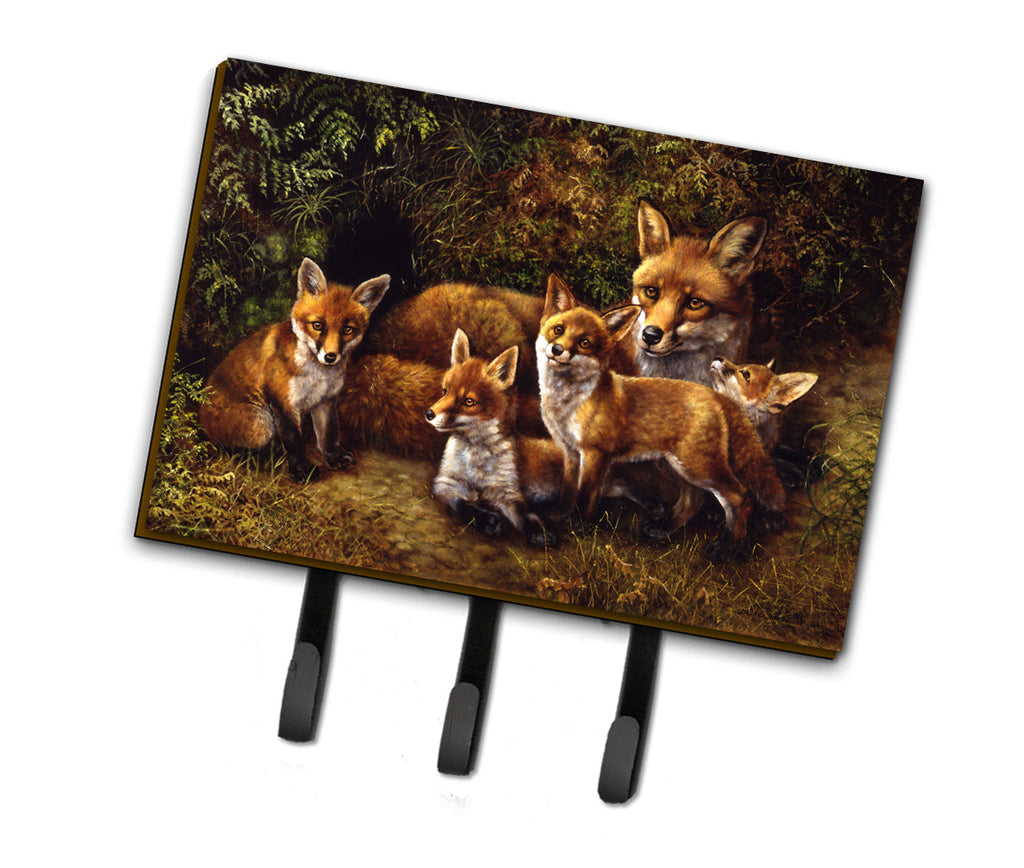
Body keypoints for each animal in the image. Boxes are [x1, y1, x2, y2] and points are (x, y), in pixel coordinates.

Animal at [199, 257, 390, 481]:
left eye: (348, 330)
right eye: (317, 325)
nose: (330, 357)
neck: (318, 376)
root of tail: (201, 417)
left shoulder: (326, 400)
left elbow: (328, 434)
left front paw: (333, 456)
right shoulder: (284, 402)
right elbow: (294, 441)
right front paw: (302, 470)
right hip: (262, 422)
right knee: (227, 447)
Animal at [425, 328, 560, 547]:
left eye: (468, 401)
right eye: (445, 391)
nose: (429, 414)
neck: (475, 457)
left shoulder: (506, 490)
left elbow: (525, 513)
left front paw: (538, 530)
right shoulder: (447, 484)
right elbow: (463, 505)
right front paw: (486, 519)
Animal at [536, 274, 786, 559]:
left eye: (584, 343)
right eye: (558, 330)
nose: (557, 349)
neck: (569, 403)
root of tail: (716, 395)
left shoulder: (595, 454)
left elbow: (586, 494)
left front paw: (579, 525)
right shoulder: (570, 452)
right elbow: (567, 489)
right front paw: (559, 515)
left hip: (698, 466)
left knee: (741, 497)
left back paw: (728, 549)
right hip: (675, 466)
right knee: (694, 499)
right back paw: (664, 528)